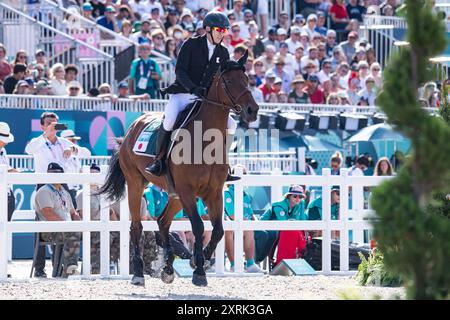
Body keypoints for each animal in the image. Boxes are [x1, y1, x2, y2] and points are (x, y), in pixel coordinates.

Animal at [100, 53, 258, 286]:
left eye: (246, 80)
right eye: (229, 81)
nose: (252, 110)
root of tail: (134, 126)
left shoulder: (214, 192)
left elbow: (218, 230)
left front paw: (200, 260)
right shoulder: (187, 191)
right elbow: (199, 227)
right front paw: (199, 271)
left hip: (174, 194)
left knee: (163, 222)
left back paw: (167, 269)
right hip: (137, 183)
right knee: (137, 227)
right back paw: (138, 274)